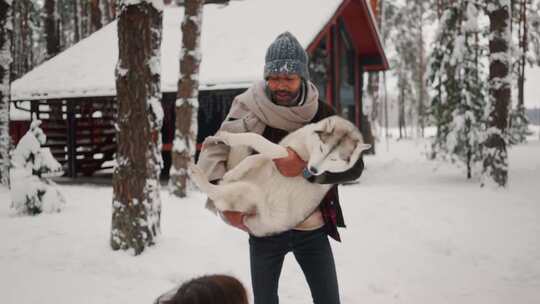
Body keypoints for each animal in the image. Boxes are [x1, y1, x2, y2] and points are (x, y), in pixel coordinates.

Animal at [190, 115, 372, 236]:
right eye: (322, 149)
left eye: (334, 158)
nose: (313, 170)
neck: (306, 152)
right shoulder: (278, 156)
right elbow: (255, 156)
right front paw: (234, 171)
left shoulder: (283, 154)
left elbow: (256, 139)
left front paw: (228, 137)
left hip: (249, 192)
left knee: (213, 191)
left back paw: (198, 174)